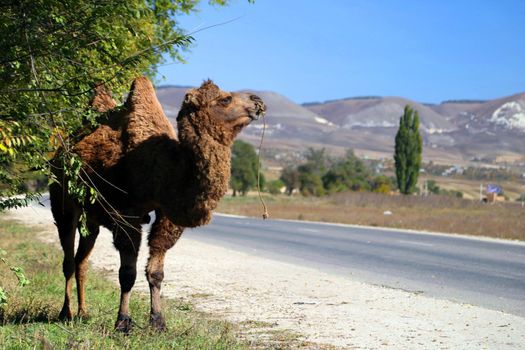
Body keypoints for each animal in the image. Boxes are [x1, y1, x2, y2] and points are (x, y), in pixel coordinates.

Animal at [50, 76, 266, 330]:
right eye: (225, 99)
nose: (257, 100)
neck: (166, 169)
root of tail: (59, 154)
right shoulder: (127, 213)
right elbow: (127, 273)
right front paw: (123, 322)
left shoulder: (167, 216)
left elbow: (156, 272)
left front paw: (158, 322)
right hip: (62, 202)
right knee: (68, 259)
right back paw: (66, 313)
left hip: (91, 218)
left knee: (81, 261)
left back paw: (83, 312)